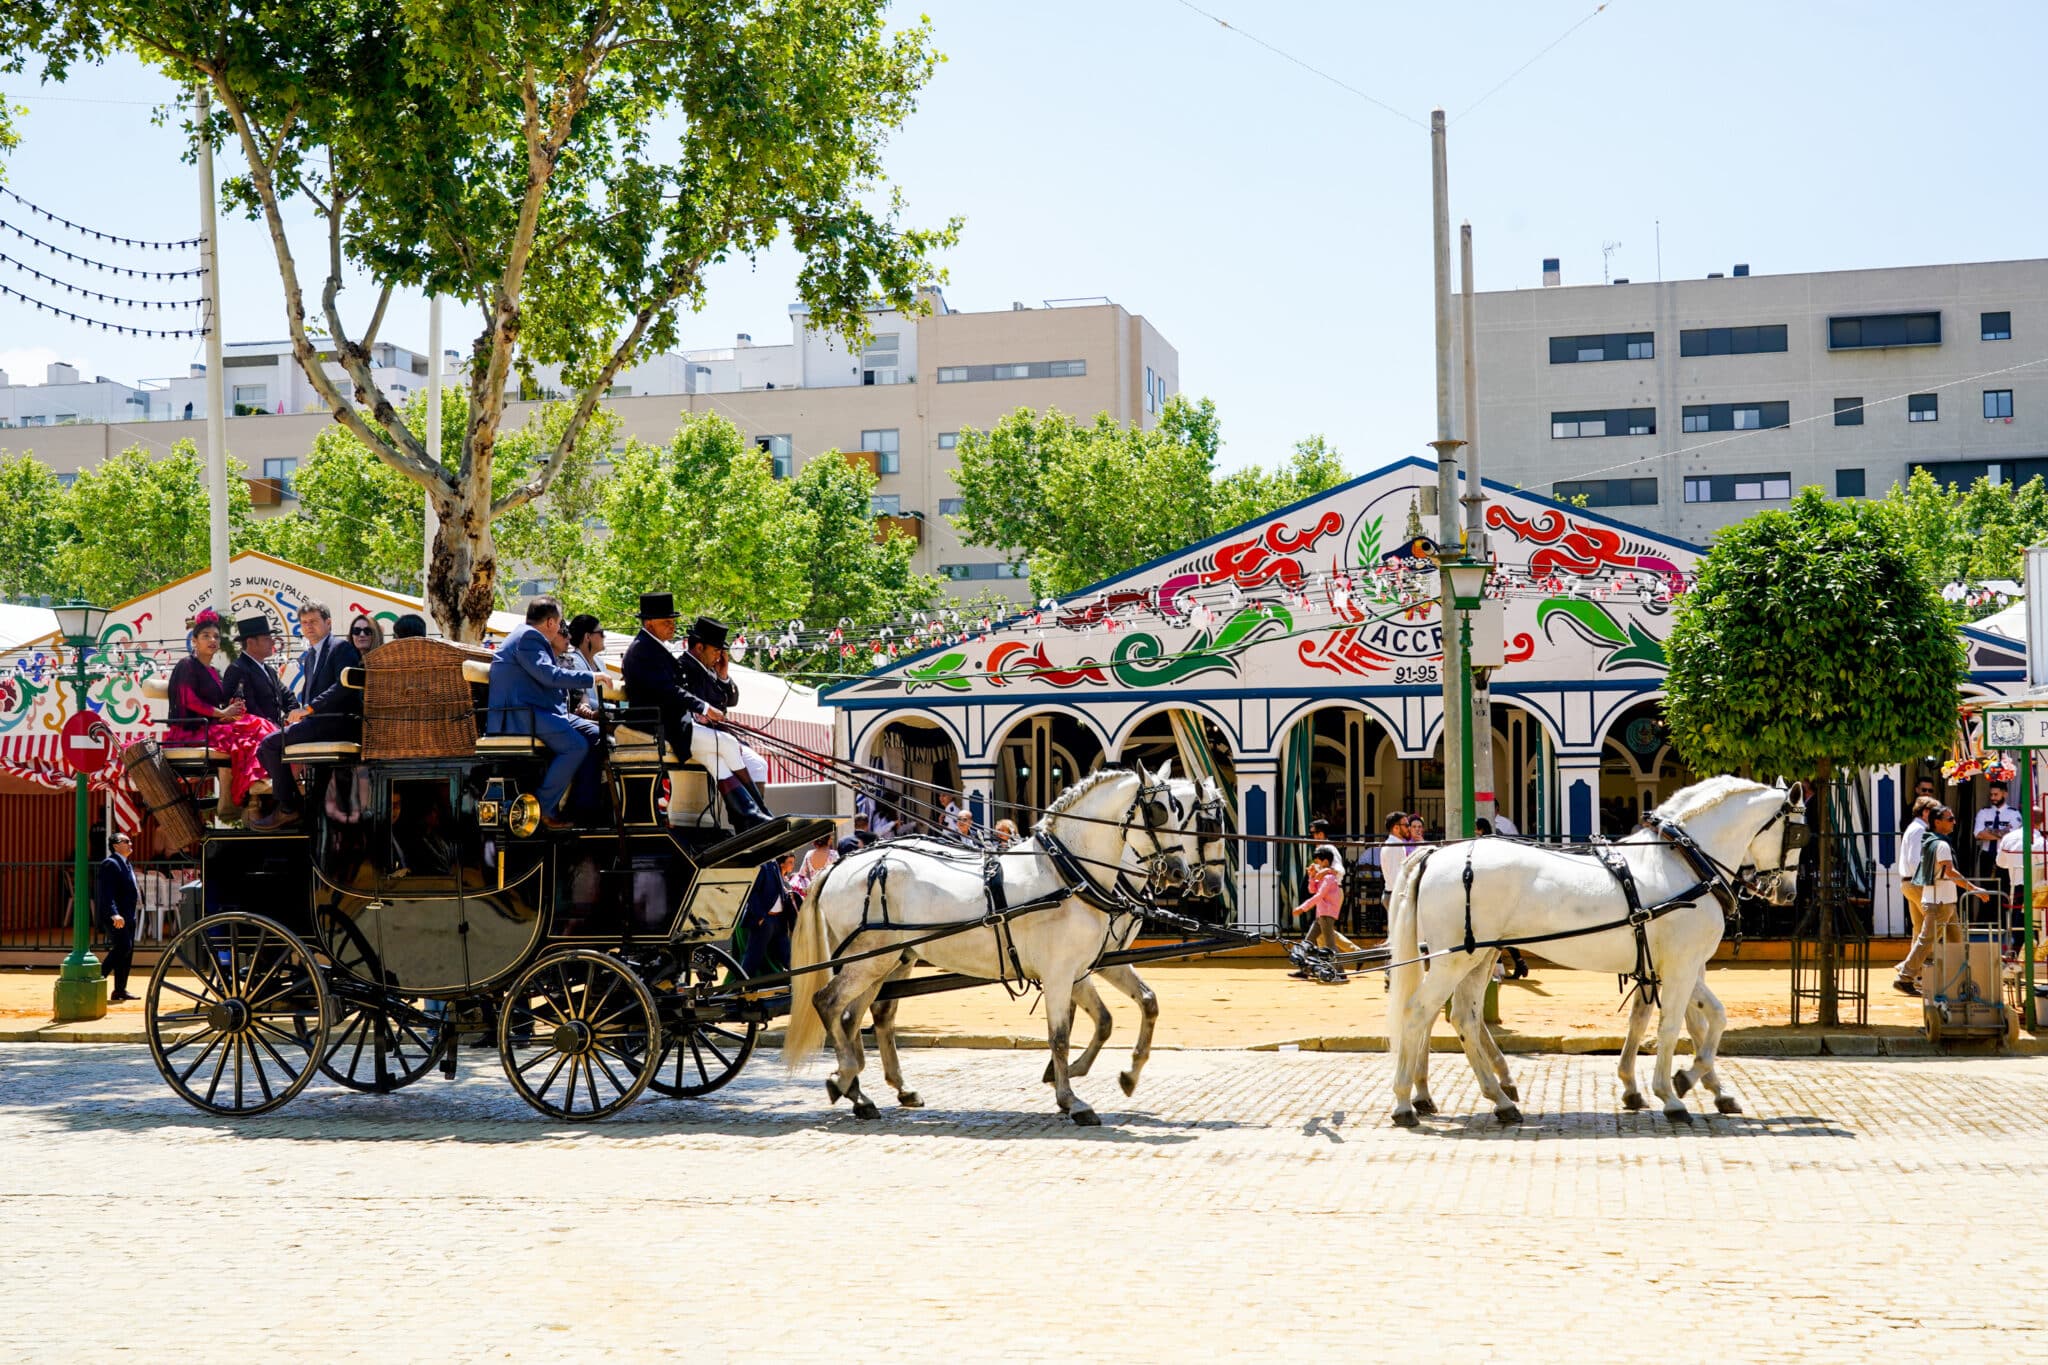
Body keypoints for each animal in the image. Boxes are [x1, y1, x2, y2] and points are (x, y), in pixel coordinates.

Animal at [786, 765, 1220, 1129]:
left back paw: (862, 1093)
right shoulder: (1061, 972)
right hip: (869, 960)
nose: (1183, 874)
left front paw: (1123, 1075)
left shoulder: (1086, 966)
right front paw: (1071, 1099)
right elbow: (1061, 1035)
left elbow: (1128, 1010)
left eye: (1182, 813)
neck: (1067, 873)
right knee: (829, 1004)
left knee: (855, 1015)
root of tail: (842, 865)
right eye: (1161, 811)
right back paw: (845, 1074)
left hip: (885, 960)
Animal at [1384, 777, 1802, 1129]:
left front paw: (1697, 1085)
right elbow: (1675, 1026)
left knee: (1464, 1019)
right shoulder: (1682, 965)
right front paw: (1673, 1092)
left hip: (1477, 957)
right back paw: (1406, 1101)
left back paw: (1497, 1099)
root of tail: (1436, 855)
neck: (1683, 863)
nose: (1789, 894)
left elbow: (1699, 1020)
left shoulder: (1676, 964)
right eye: (1798, 832)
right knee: (1419, 1011)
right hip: (1453, 959)